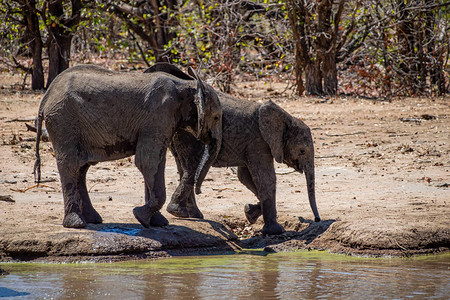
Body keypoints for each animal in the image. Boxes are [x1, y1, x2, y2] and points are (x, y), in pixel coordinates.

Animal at [35, 63, 223, 227]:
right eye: (217, 117)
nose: (199, 192)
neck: (188, 85)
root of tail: (46, 98)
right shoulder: (158, 116)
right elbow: (147, 162)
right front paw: (140, 216)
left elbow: (155, 164)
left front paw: (157, 223)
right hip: (63, 121)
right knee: (71, 165)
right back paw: (77, 224)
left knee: (82, 168)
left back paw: (93, 220)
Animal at [145, 63, 320, 237]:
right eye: (302, 151)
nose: (317, 220)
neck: (286, 117)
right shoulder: (259, 142)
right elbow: (266, 179)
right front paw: (275, 231)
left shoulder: (250, 145)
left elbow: (245, 176)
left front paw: (250, 212)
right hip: (190, 134)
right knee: (191, 167)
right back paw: (179, 212)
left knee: (184, 167)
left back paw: (192, 215)